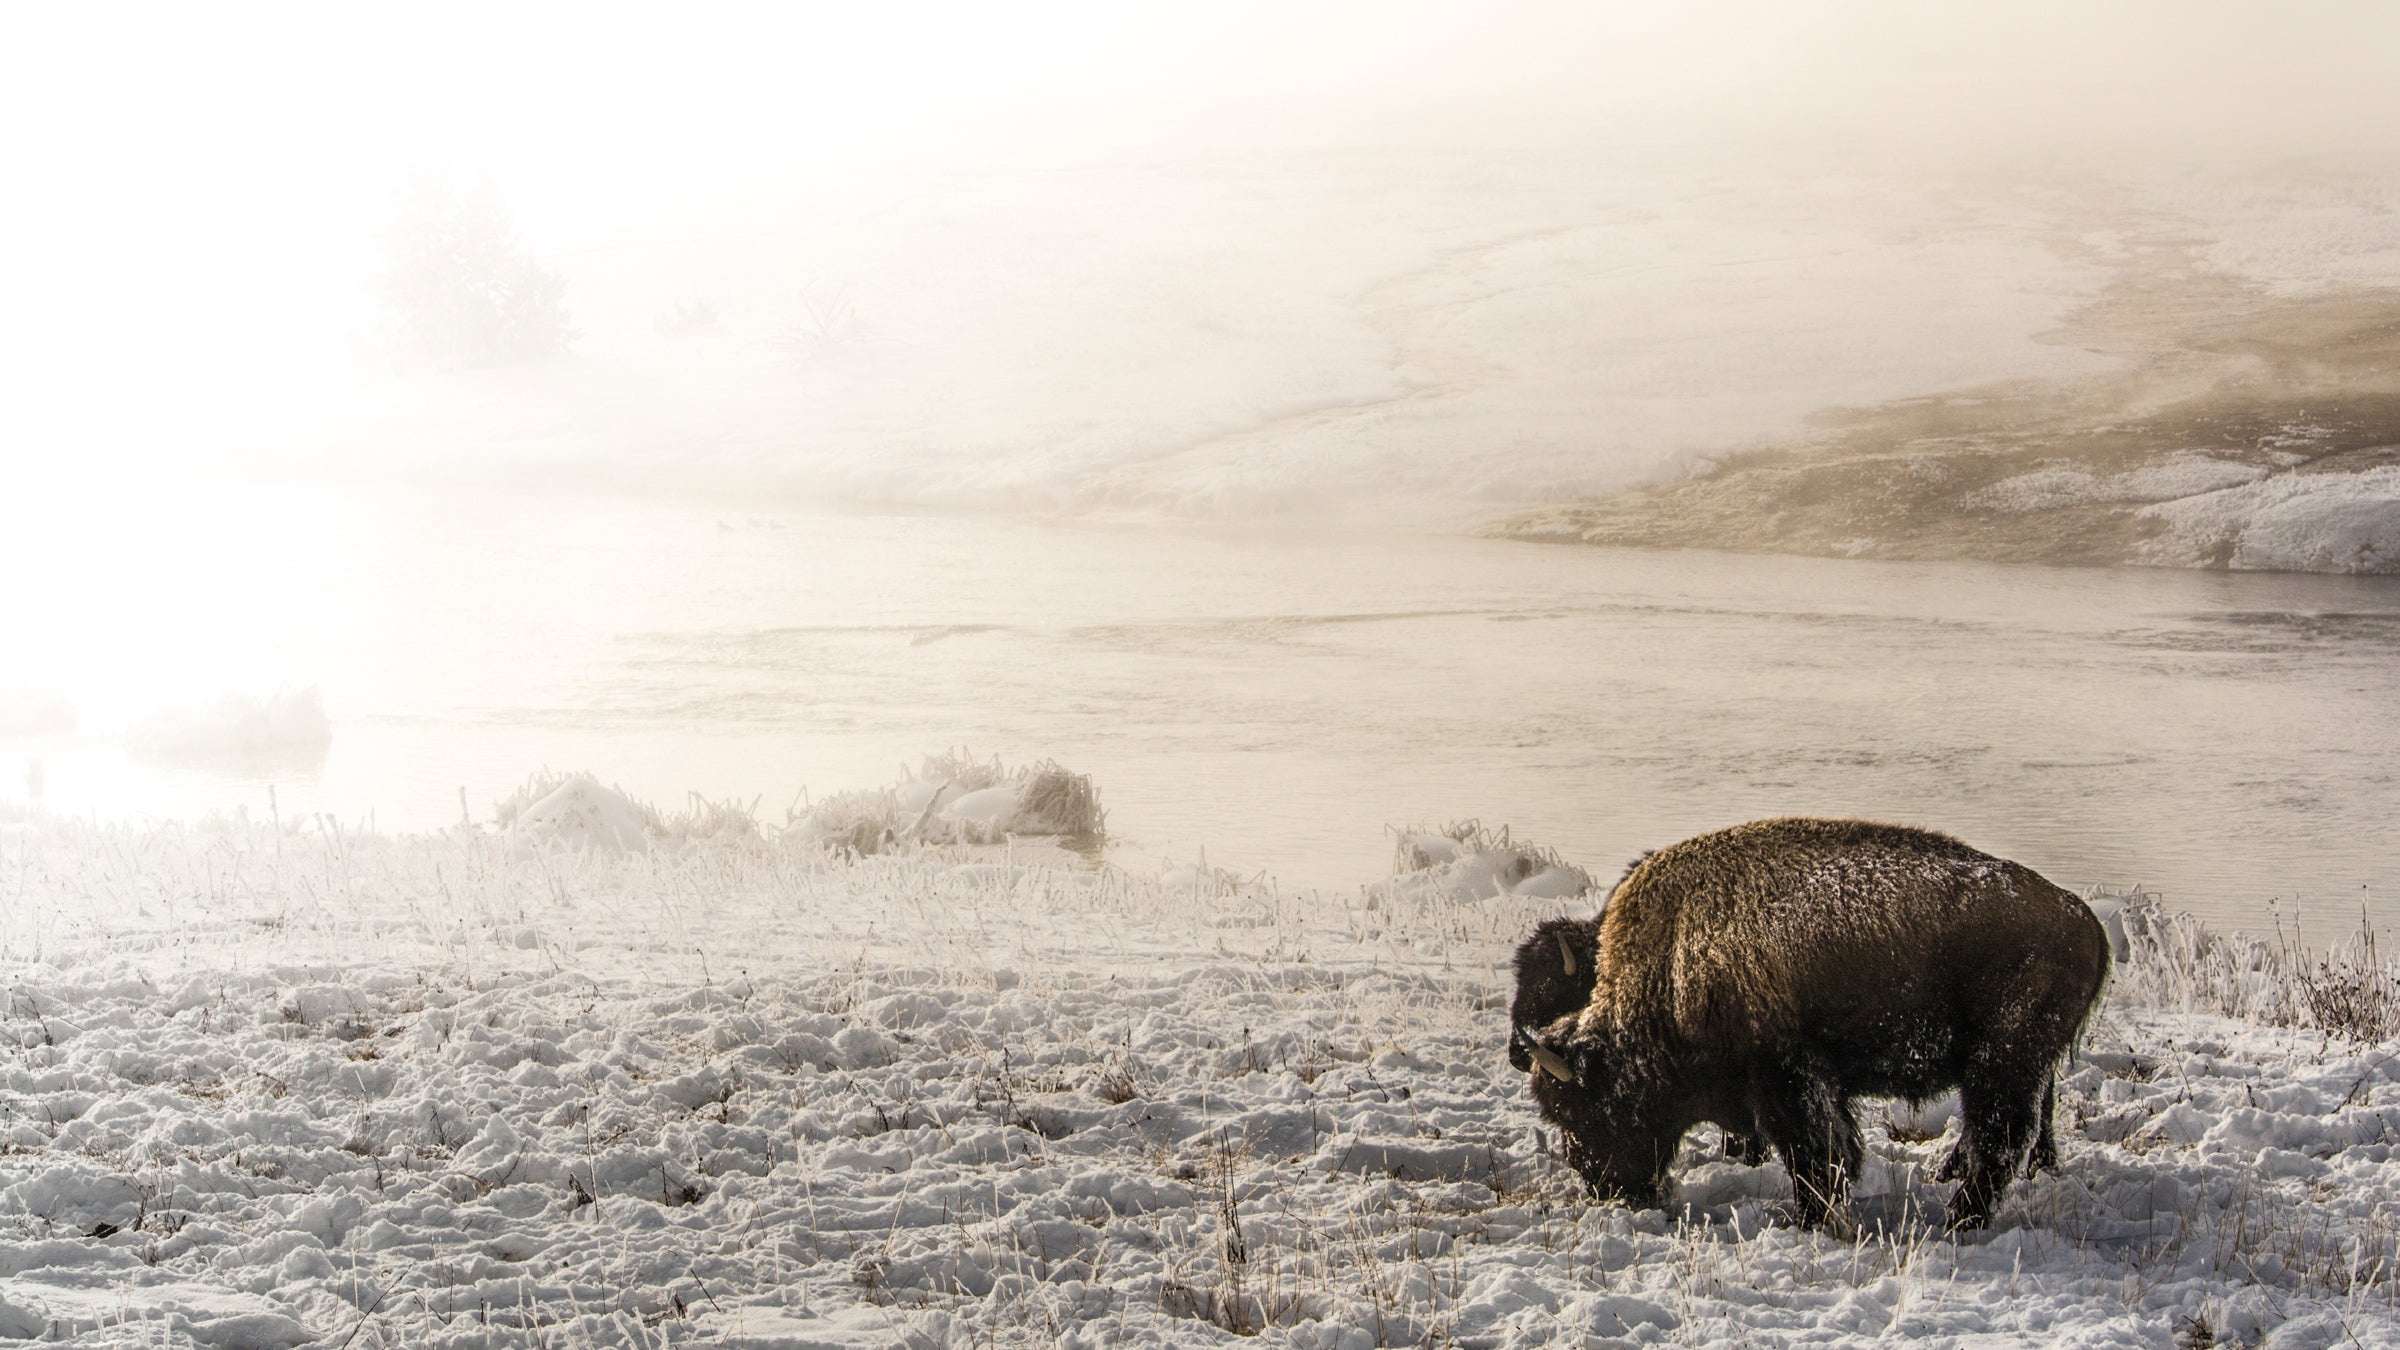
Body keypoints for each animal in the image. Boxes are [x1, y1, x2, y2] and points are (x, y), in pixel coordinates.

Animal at [1512, 817, 2108, 1229]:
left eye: (1587, 1111)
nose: (1605, 1188)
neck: (1671, 971)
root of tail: (2084, 918)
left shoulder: (1787, 1077)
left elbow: (1814, 1154)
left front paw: (1808, 1219)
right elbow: (1838, 1149)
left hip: (2003, 1066)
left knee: (1999, 1142)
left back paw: (1958, 1221)